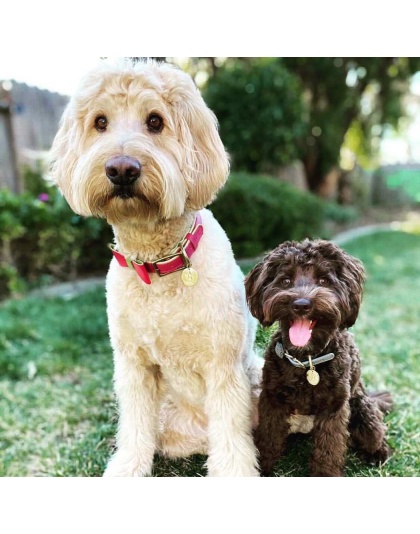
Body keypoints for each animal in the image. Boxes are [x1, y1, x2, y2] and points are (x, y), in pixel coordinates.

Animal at [50, 58, 262, 478]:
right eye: (100, 122)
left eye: (155, 121)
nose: (121, 169)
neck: (158, 263)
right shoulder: (133, 366)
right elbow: (134, 426)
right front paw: (127, 469)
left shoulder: (224, 366)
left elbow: (231, 429)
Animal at [244, 241, 392, 480]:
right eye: (285, 281)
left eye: (324, 280)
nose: (301, 304)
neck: (307, 359)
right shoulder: (272, 400)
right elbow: (268, 437)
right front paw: (261, 467)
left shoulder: (334, 408)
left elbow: (329, 448)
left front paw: (325, 473)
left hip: (364, 412)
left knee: (376, 432)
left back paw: (378, 453)